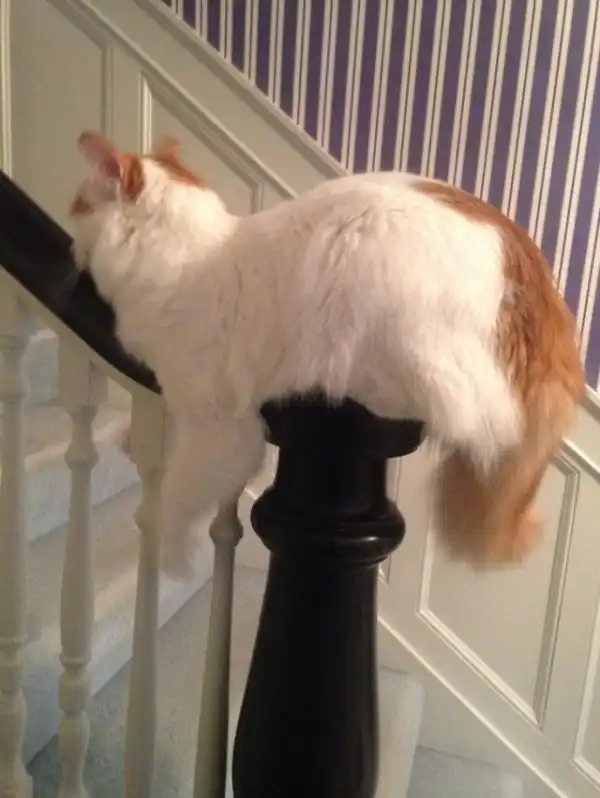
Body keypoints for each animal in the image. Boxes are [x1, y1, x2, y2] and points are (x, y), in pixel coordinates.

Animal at [69, 130, 585, 580]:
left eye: (77, 206)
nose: (71, 227)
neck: (189, 258)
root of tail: (540, 282)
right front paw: (128, 438)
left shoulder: (218, 428)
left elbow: (175, 499)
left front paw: (170, 559)